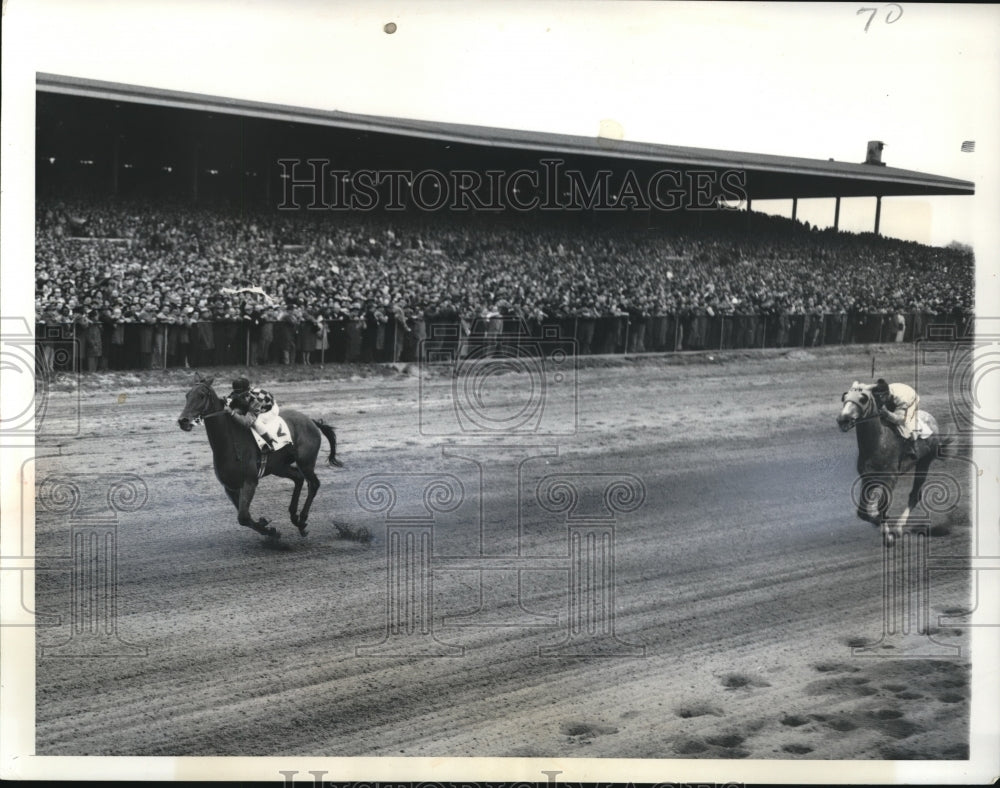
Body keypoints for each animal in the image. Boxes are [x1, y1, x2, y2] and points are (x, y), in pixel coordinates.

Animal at [181, 378, 348, 540]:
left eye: (202, 396)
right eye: (187, 395)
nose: (183, 421)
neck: (230, 443)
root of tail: (311, 421)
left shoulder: (250, 482)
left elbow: (243, 517)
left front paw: (270, 530)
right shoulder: (229, 487)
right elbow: (245, 517)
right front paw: (266, 526)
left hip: (306, 462)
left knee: (313, 484)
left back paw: (301, 521)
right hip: (279, 467)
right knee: (298, 478)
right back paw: (294, 517)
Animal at [840, 380, 948, 540]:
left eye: (863, 399)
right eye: (845, 397)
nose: (842, 420)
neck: (878, 442)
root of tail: (932, 418)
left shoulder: (890, 478)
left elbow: (882, 507)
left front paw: (887, 533)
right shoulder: (868, 478)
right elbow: (862, 512)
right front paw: (877, 521)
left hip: (924, 462)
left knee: (915, 495)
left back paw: (898, 528)